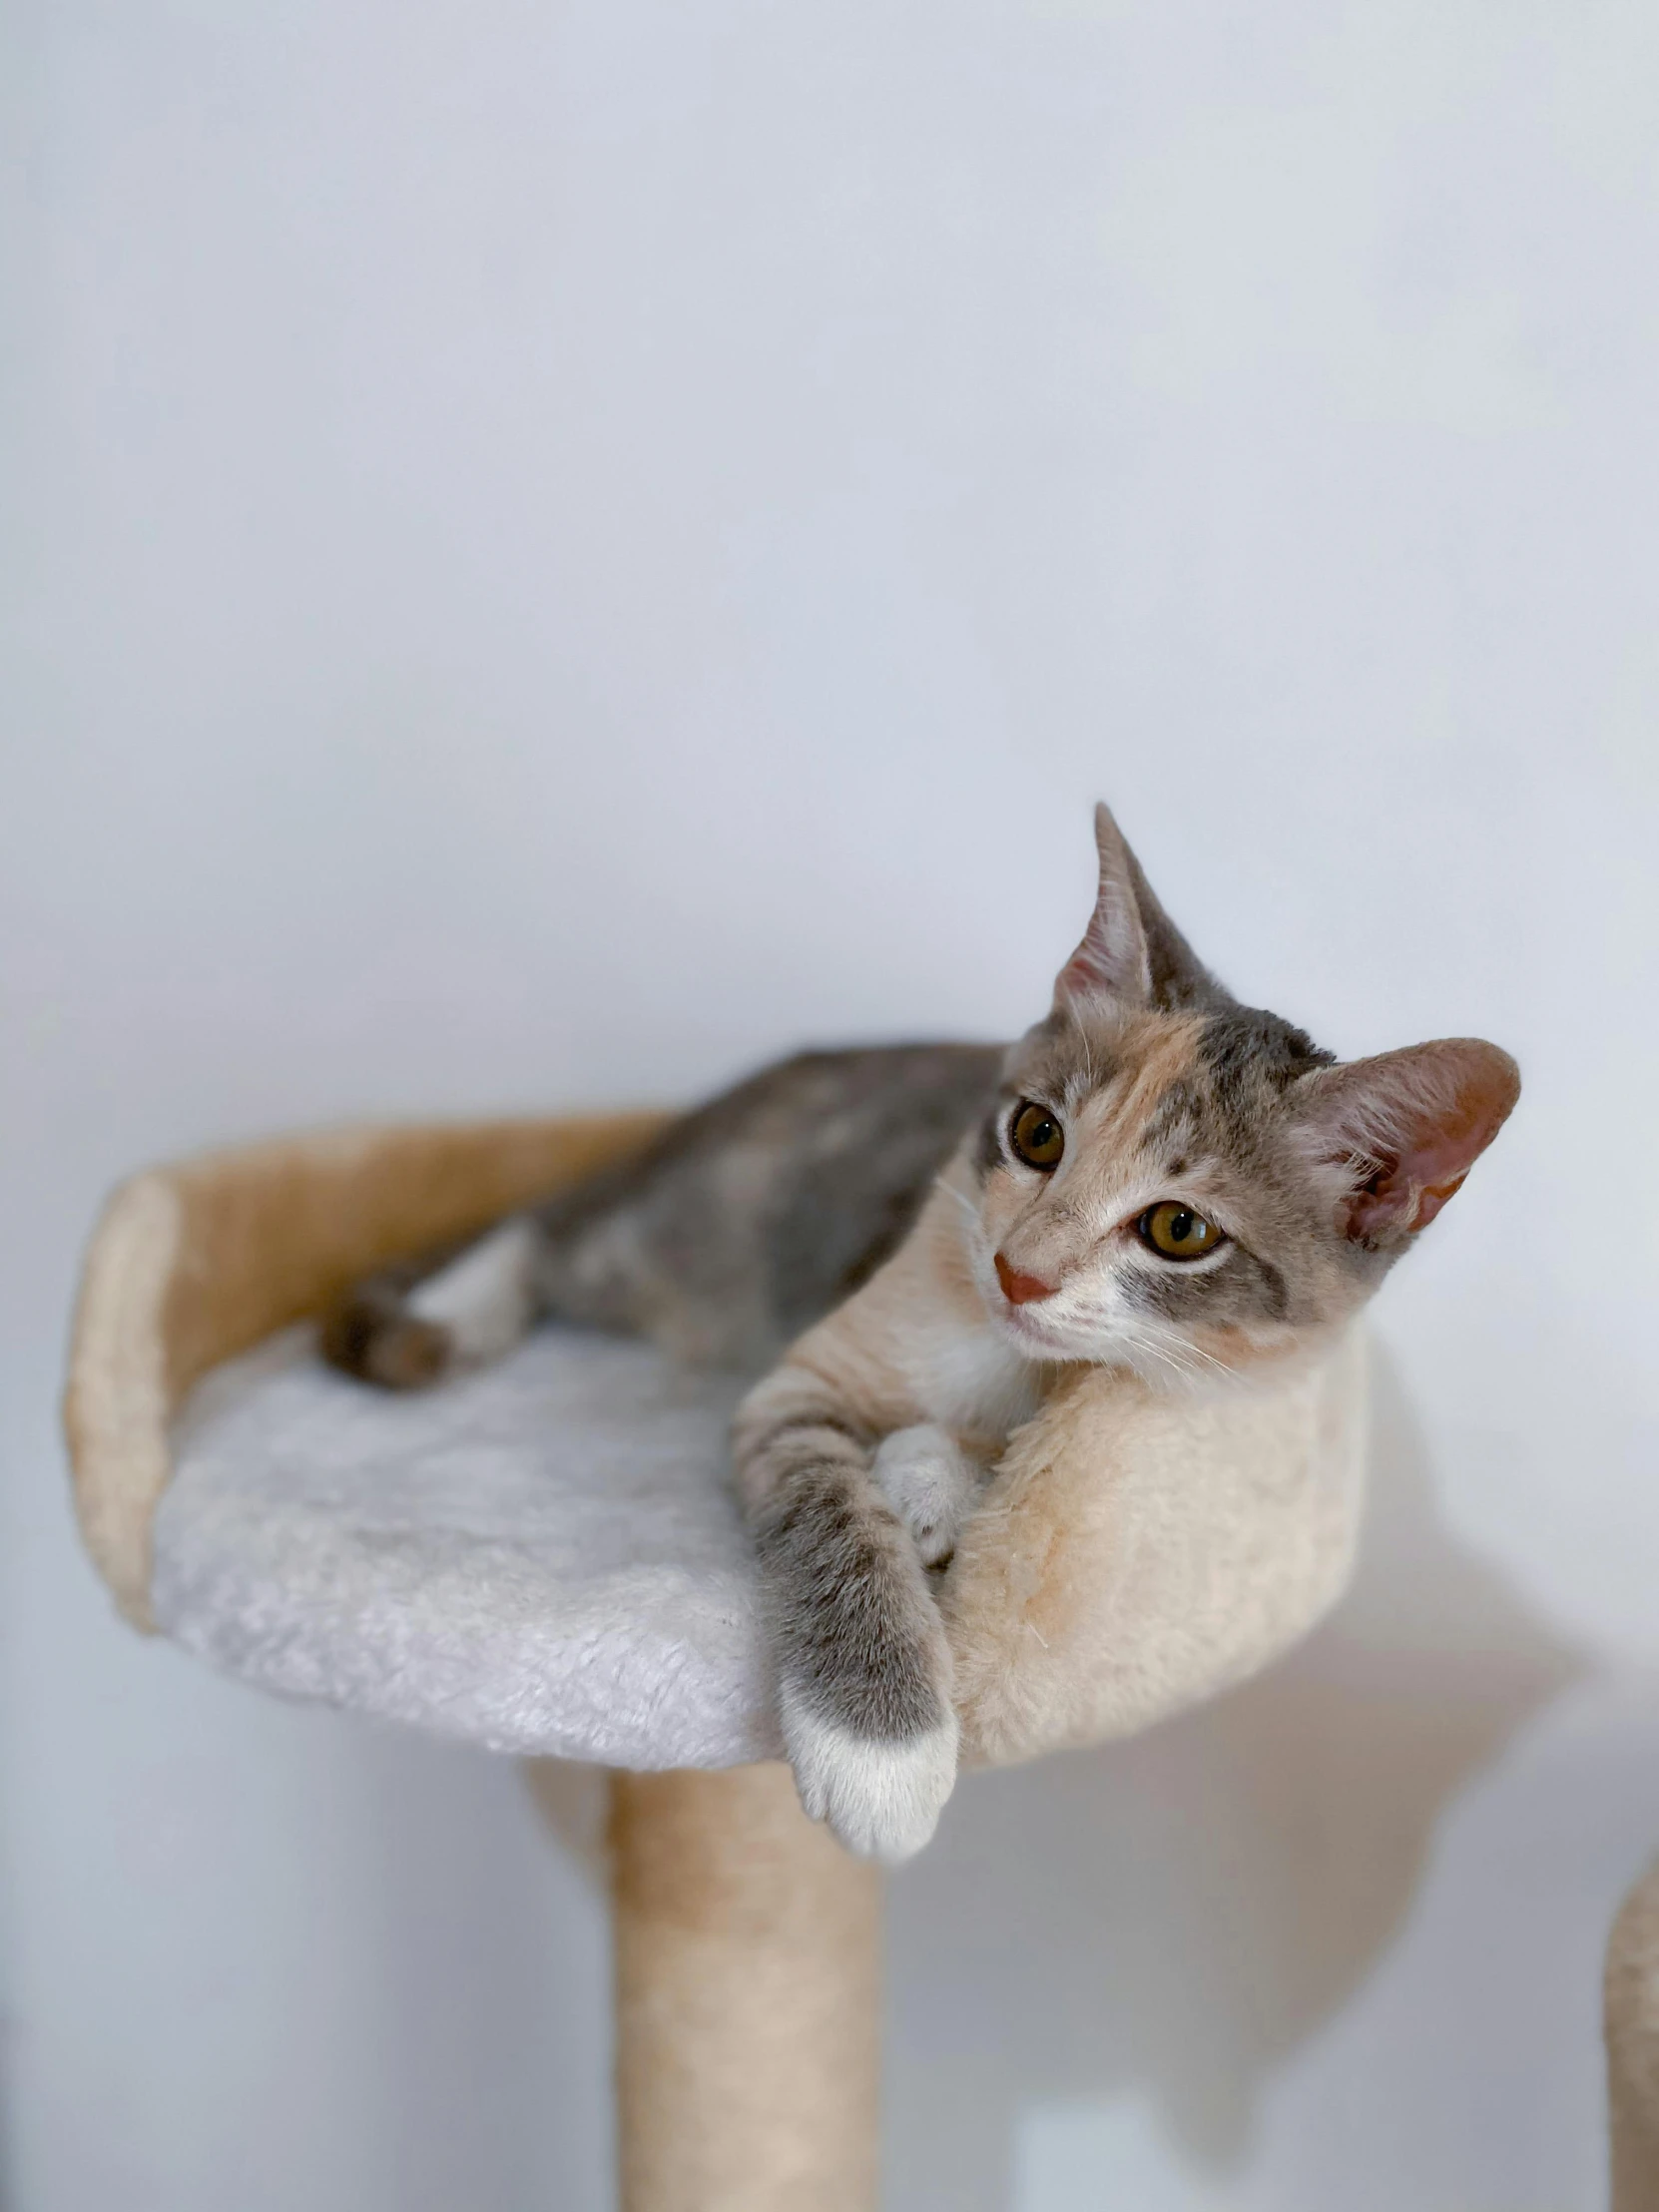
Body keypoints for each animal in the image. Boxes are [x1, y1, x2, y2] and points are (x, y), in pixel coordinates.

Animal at [324, 805, 1521, 1858]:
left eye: (1179, 1228)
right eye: (1036, 1133)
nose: (1017, 1268)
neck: (1009, 1354)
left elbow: (985, 1448)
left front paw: (933, 1483)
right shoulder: (802, 1374)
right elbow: (830, 1509)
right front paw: (880, 1755)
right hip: (702, 1228)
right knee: (547, 1224)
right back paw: (451, 1318)